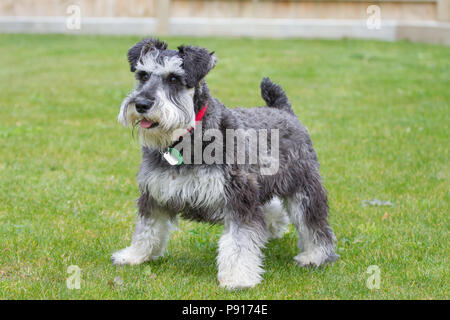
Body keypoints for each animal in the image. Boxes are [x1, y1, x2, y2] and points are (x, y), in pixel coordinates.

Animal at [112, 38, 338, 288]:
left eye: (174, 78)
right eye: (142, 75)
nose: (141, 104)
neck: (186, 139)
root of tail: (284, 111)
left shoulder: (239, 198)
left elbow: (239, 241)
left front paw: (238, 277)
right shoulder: (154, 194)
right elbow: (147, 228)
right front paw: (134, 255)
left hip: (303, 188)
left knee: (313, 224)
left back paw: (315, 255)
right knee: (271, 207)